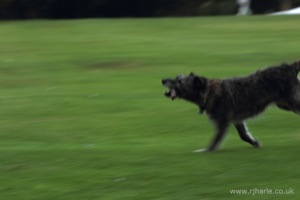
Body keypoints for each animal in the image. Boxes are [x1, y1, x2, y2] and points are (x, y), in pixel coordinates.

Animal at [163, 60, 300, 152]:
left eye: (179, 81)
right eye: (177, 77)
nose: (163, 80)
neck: (208, 91)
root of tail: (289, 67)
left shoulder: (222, 123)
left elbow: (215, 139)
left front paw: (207, 150)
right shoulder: (237, 120)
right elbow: (243, 135)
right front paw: (255, 142)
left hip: (292, 102)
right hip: (283, 104)